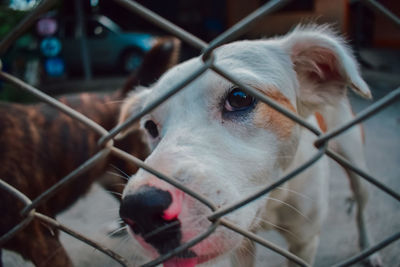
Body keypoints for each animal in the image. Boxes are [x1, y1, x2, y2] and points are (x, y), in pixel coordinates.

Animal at [117, 25, 380, 267]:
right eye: (150, 127)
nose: (141, 209)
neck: (272, 198)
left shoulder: (304, 242)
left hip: (357, 165)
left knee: (361, 208)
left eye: (239, 98)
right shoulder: (243, 246)